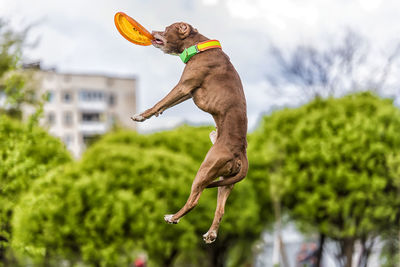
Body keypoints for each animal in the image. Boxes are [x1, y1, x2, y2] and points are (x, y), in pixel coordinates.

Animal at [132, 22, 247, 245]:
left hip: (205, 169)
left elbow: (160, 101)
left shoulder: (184, 86)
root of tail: (241, 153)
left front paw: (141, 116)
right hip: (226, 182)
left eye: (166, 28)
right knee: (220, 209)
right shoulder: (186, 93)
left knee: (194, 200)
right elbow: (166, 104)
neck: (198, 46)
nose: (153, 32)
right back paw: (211, 234)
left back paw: (173, 217)